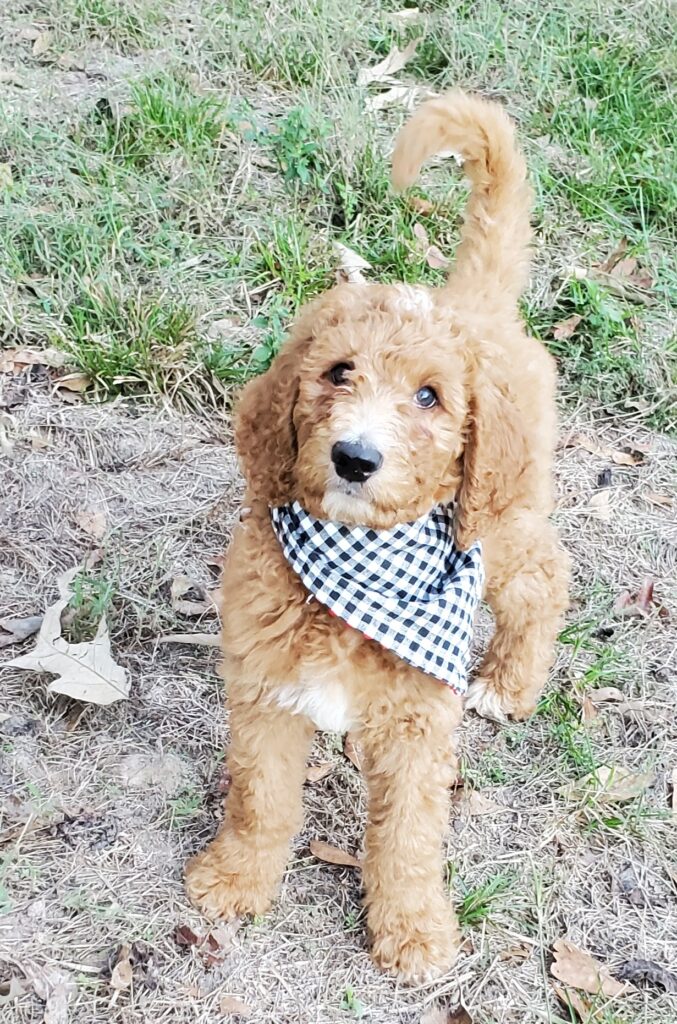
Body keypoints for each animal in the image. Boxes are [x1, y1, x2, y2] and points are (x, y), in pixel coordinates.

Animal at [184, 94, 569, 983]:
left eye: (428, 396)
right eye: (337, 373)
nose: (355, 458)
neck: (356, 574)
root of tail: (472, 305)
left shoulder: (418, 726)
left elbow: (408, 836)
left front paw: (414, 928)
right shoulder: (264, 693)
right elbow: (260, 799)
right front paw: (235, 879)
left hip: (497, 522)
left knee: (546, 577)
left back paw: (509, 680)